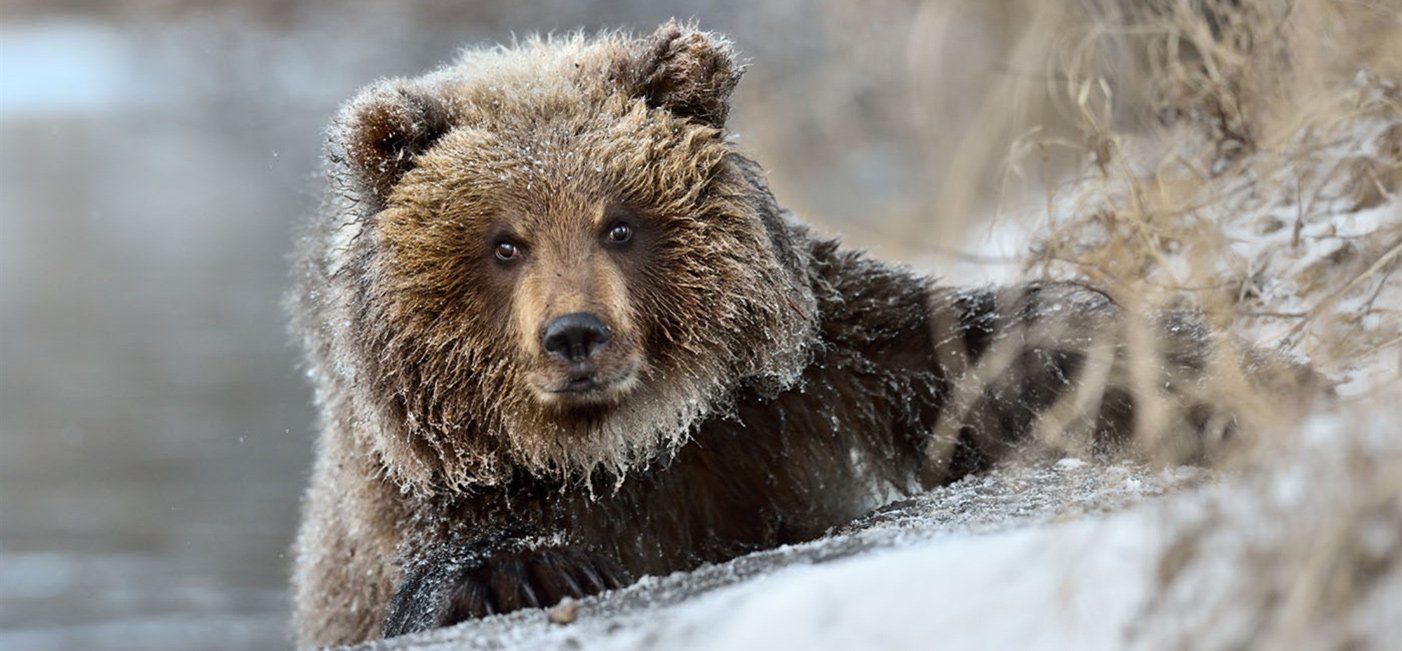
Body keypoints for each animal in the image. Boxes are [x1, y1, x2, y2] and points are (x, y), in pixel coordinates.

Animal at [290, 21, 1267, 651]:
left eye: (618, 224)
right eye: (504, 241)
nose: (576, 334)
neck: (621, 444)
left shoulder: (810, 384)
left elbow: (984, 359)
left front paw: (1201, 375)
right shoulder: (404, 498)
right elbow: (448, 562)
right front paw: (523, 571)